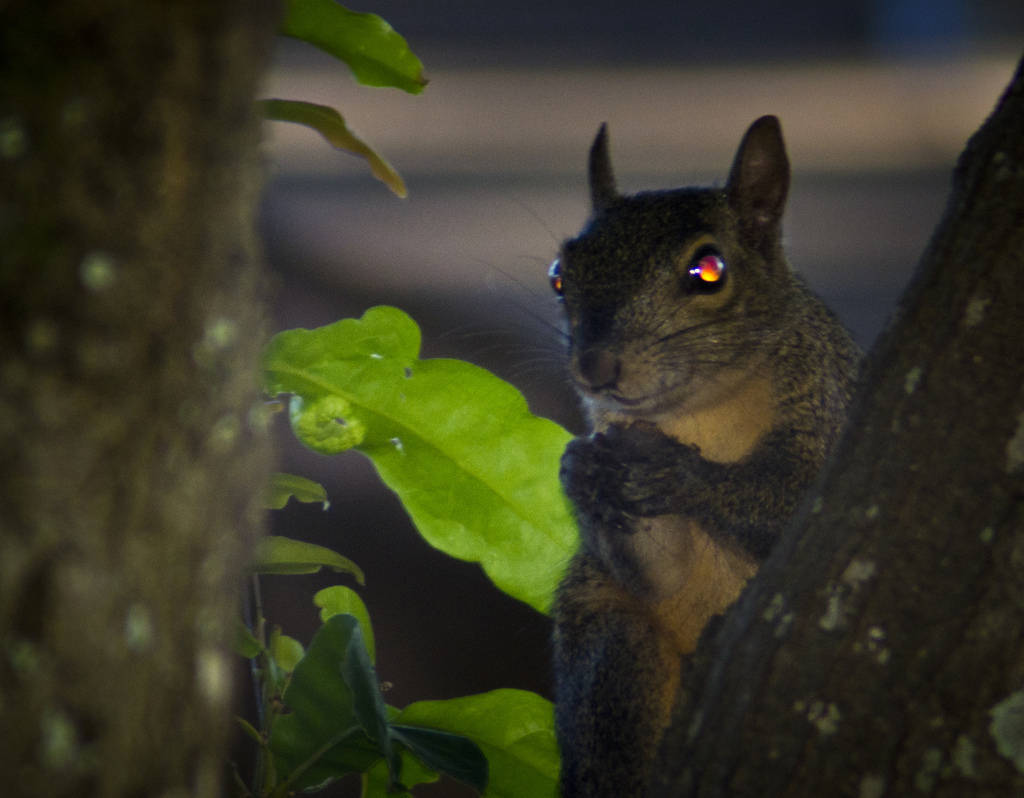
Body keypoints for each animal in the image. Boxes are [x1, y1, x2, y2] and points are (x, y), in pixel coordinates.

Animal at [548, 115, 860, 794]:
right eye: (559, 275)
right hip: (606, 635)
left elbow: (794, 499)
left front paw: (677, 471)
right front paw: (581, 472)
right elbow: (658, 572)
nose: (594, 367)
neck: (698, 412)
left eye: (709, 270)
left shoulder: (834, 405)